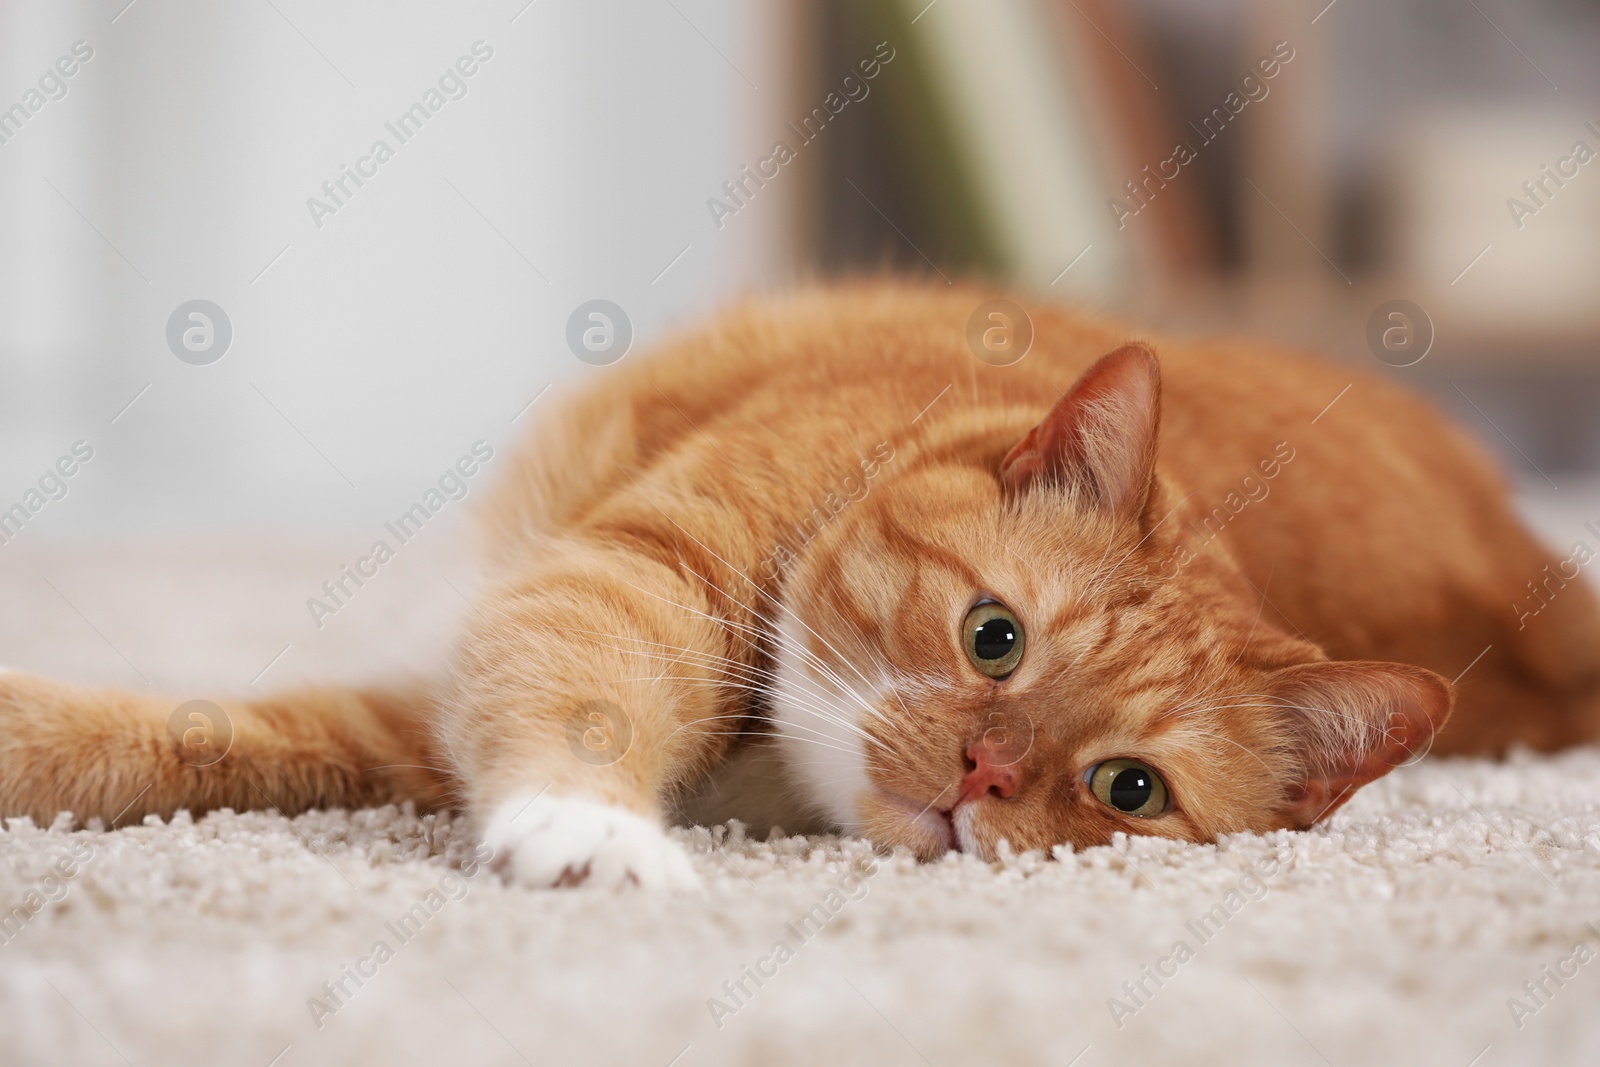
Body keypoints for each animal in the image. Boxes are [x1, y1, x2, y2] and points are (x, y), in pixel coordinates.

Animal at [3, 279, 1600, 889]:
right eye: (993, 637)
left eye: (1128, 786)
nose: (981, 770)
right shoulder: (628, 583)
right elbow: (183, 734)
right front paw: (595, 822)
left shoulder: (447, 697)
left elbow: (225, 738)